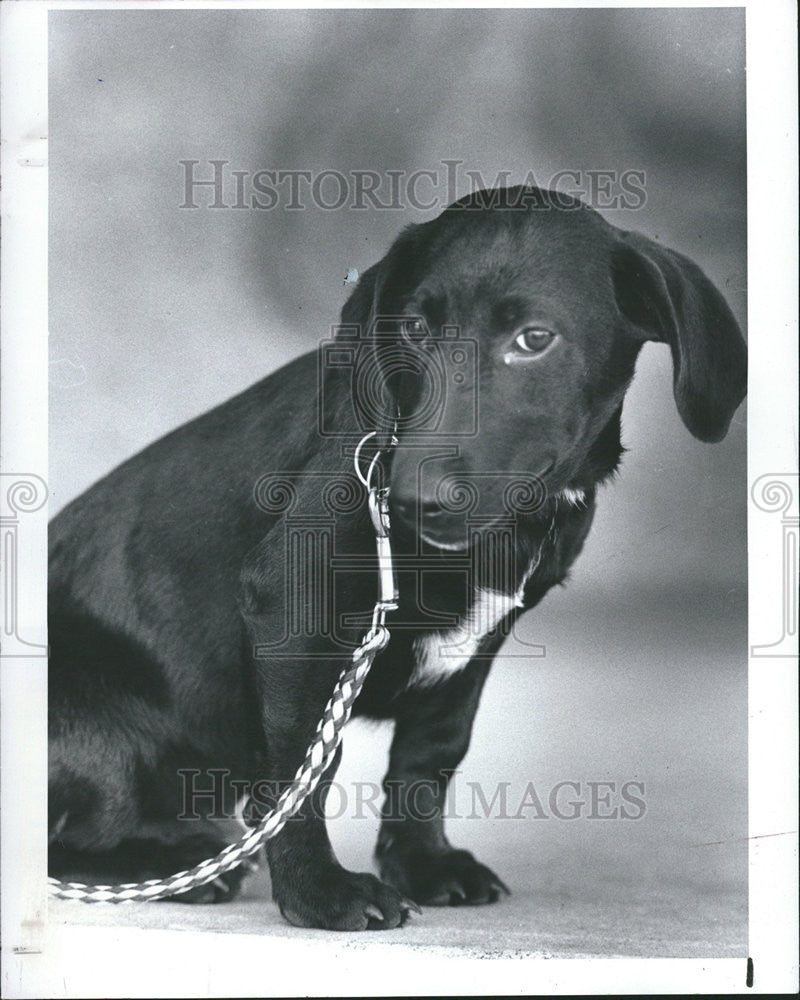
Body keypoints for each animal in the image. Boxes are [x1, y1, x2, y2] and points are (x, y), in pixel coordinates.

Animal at [48, 188, 752, 928]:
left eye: (534, 340)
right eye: (413, 328)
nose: (414, 500)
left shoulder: (473, 651)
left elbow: (428, 759)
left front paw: (424, 864)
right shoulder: (293, 604)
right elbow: (299, 774)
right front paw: (320, 892)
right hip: (99, 735)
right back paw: (177, 865)